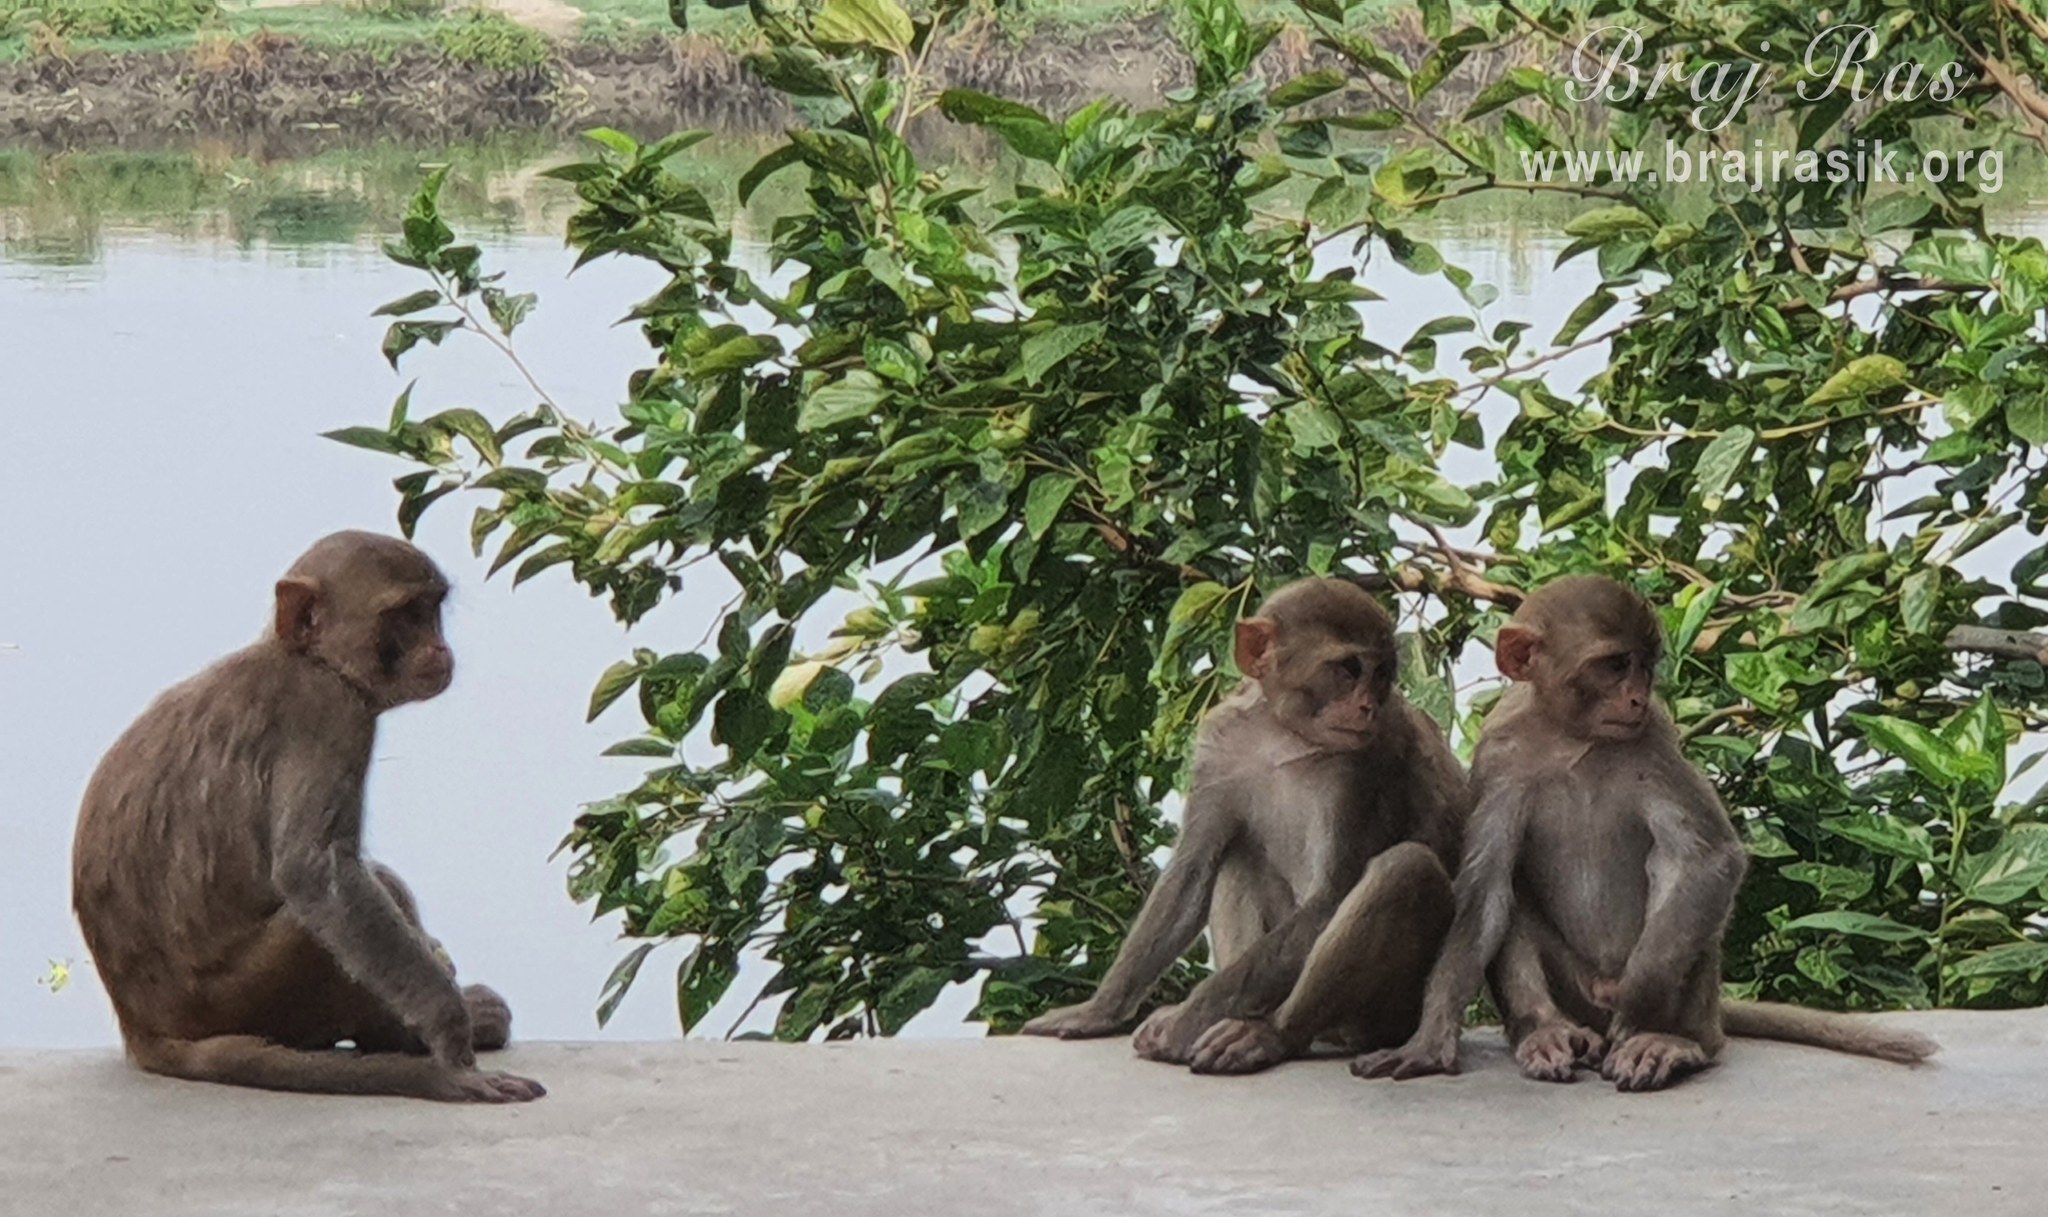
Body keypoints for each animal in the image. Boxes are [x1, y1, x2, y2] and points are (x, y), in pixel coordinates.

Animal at [72, 531, 544, 1103]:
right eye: (405, 615)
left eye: (431, 610)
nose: (439, 648)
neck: (308, 657)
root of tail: (142, 1029)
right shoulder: (330, 712)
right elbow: (317, 873)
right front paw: (449, 1032)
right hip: (247, 996)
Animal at [1020, 577, 1469, 1075]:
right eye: (1349, 670)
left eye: (1382, 674)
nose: (1368, 706)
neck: (1283, 735)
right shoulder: (1218, 745)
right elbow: (1192, 872)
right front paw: (1098, 1010)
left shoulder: (1365, 766)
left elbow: (1330, 897)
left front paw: (1186, 1019)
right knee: (1239, 857)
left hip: (1393, 1012)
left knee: (1406, 869)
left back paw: (1272, 1034)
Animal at [1353, 574, 1937, 1092]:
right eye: (1614, 665)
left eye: (1645, 666)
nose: (1635, 697)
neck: (1570, 738)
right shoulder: (1499, 755)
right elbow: (1485, 889)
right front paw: (1430, 1041)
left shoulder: (1655, 737)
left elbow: (1710, 859)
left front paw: (1640, 1002)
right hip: (1576, 989)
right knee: (1513, 895)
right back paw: (1547, 1032)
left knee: (1677, 877)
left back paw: (1671, 1042)